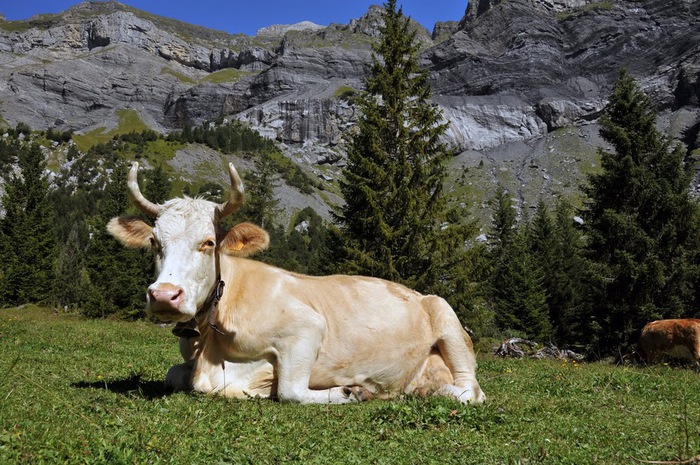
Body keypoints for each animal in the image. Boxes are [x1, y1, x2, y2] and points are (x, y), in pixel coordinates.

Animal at [106, 162, 486, 402]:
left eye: (208, 242)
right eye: (154, 242)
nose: (164, 296)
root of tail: (415, 292)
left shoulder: (307, 328)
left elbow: (290, 391)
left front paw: (351, 391)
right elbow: (174, 375)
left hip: (448, 320)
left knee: (471, 391)